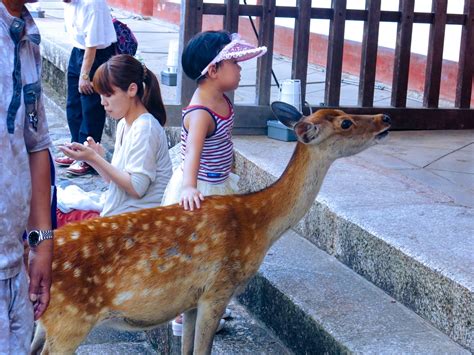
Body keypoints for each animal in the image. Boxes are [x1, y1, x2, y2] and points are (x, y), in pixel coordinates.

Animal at [31, 101, 390, 354]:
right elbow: (203, 350)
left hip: (46, 322)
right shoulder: (218, 288)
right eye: (345, 122)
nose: (385, 118)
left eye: (343, 112)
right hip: (70, 320)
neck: (257, 225)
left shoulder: (191, 299)